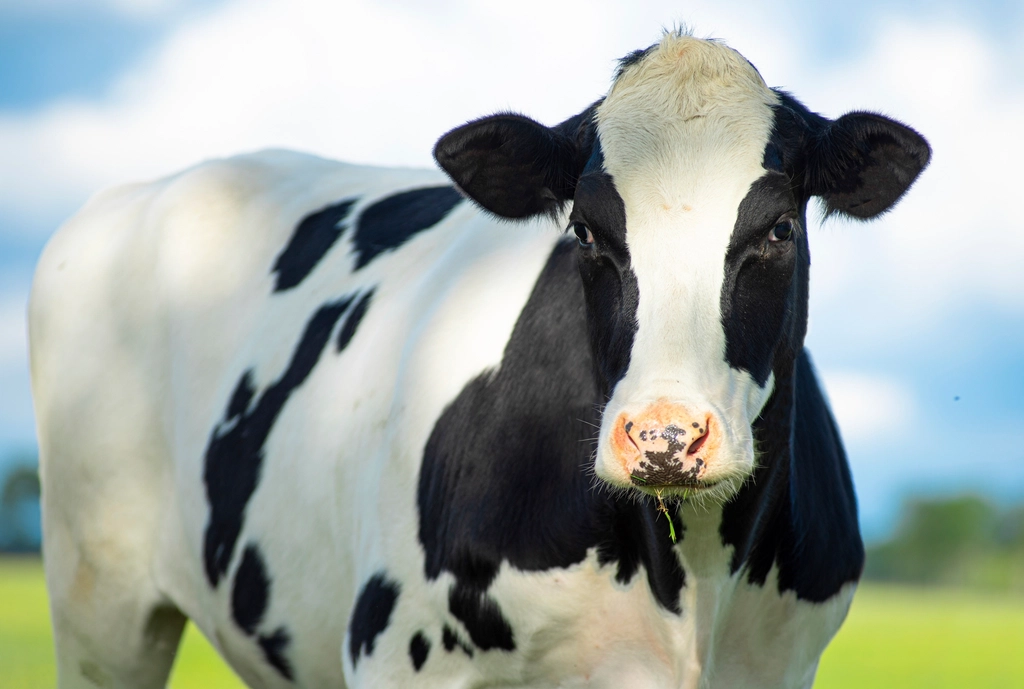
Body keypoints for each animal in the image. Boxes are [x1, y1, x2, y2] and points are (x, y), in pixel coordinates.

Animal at [29, 31, 929, 689]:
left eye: (779, 227)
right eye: (586, 230)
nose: (665, 439)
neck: (689, 583)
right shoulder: (398, 652)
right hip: (97, 599)